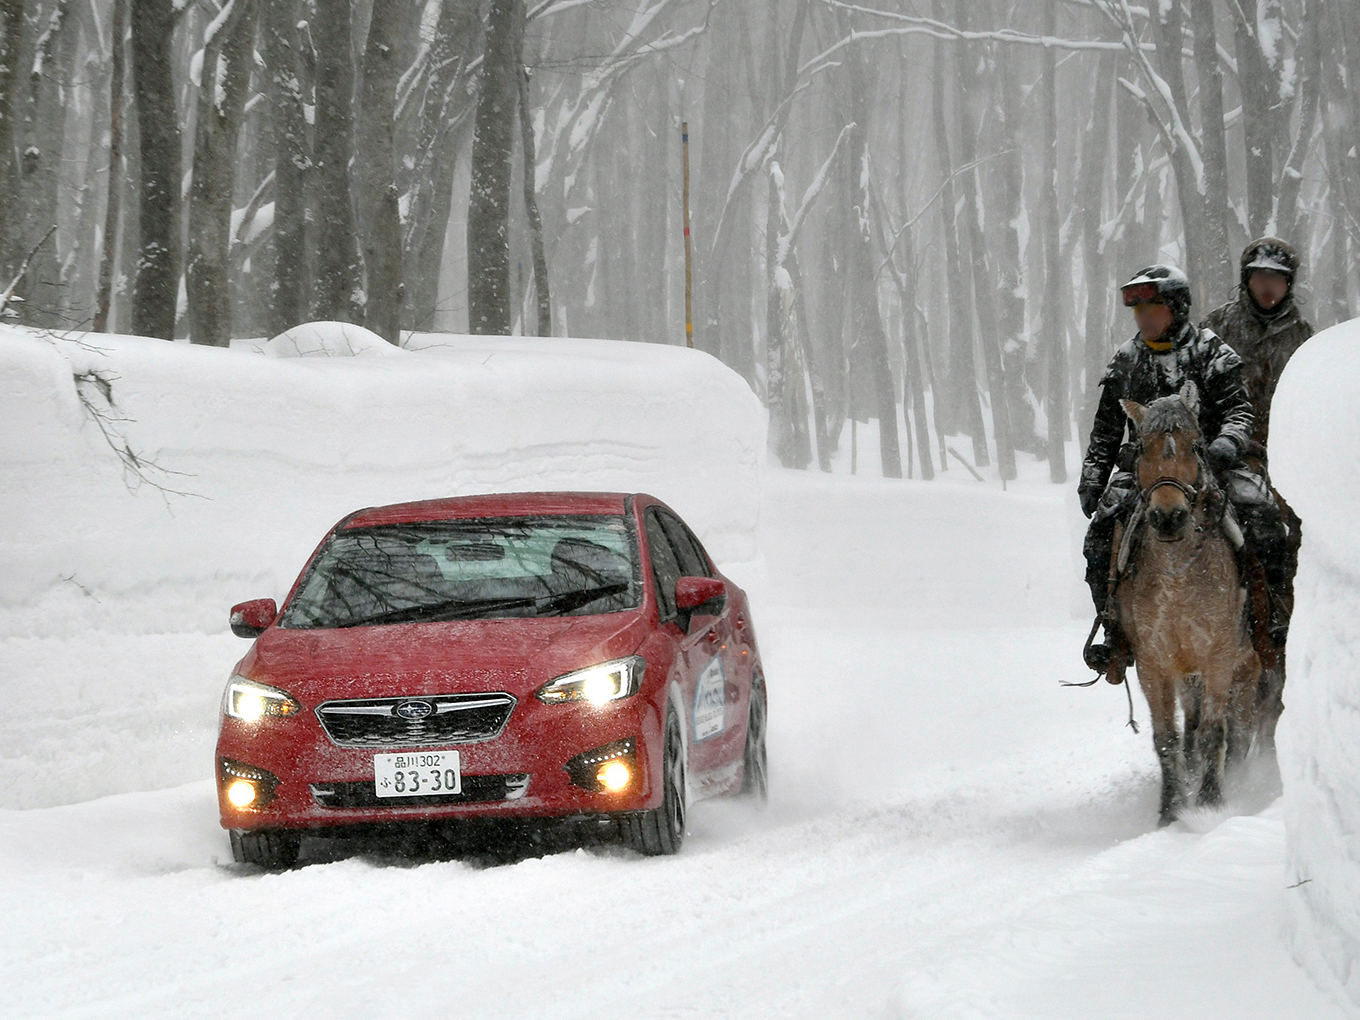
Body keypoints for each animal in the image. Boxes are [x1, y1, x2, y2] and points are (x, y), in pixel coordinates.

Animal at [1109, 386, 1256, 826]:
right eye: (1141, 448)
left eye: (1196, 446)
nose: (1168, 517)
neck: (1177, 575)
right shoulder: (1154, 664)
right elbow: (1168, 739)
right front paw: (1170, 811)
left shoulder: (1218, 657)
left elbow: (1213, 731)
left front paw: (1211, 802)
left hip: (1253, 665)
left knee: (1246, 728)